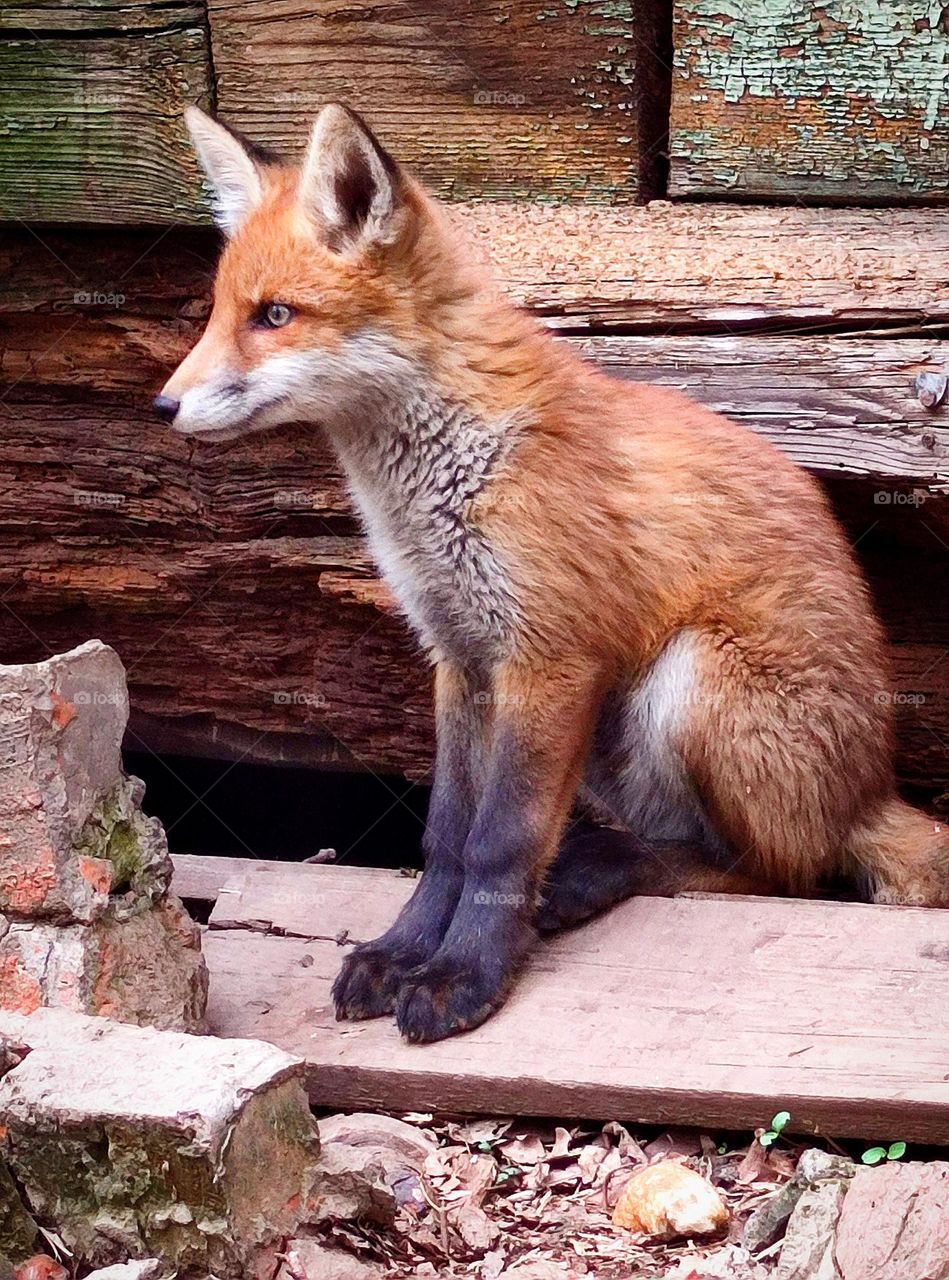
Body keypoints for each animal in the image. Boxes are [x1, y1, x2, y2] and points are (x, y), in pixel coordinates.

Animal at [159, 103, 948, 1043]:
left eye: (275, 314)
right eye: (217, 312)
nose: (163, 406)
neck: (451, 478)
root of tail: (871, 790)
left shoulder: (549, 656)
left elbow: (500, 841)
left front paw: (462, 974)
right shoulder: (461, 657)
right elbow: (446, 837)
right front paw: (403, 952)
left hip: (690, 677)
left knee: (782, 873)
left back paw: (602, 873)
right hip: (614, 729)